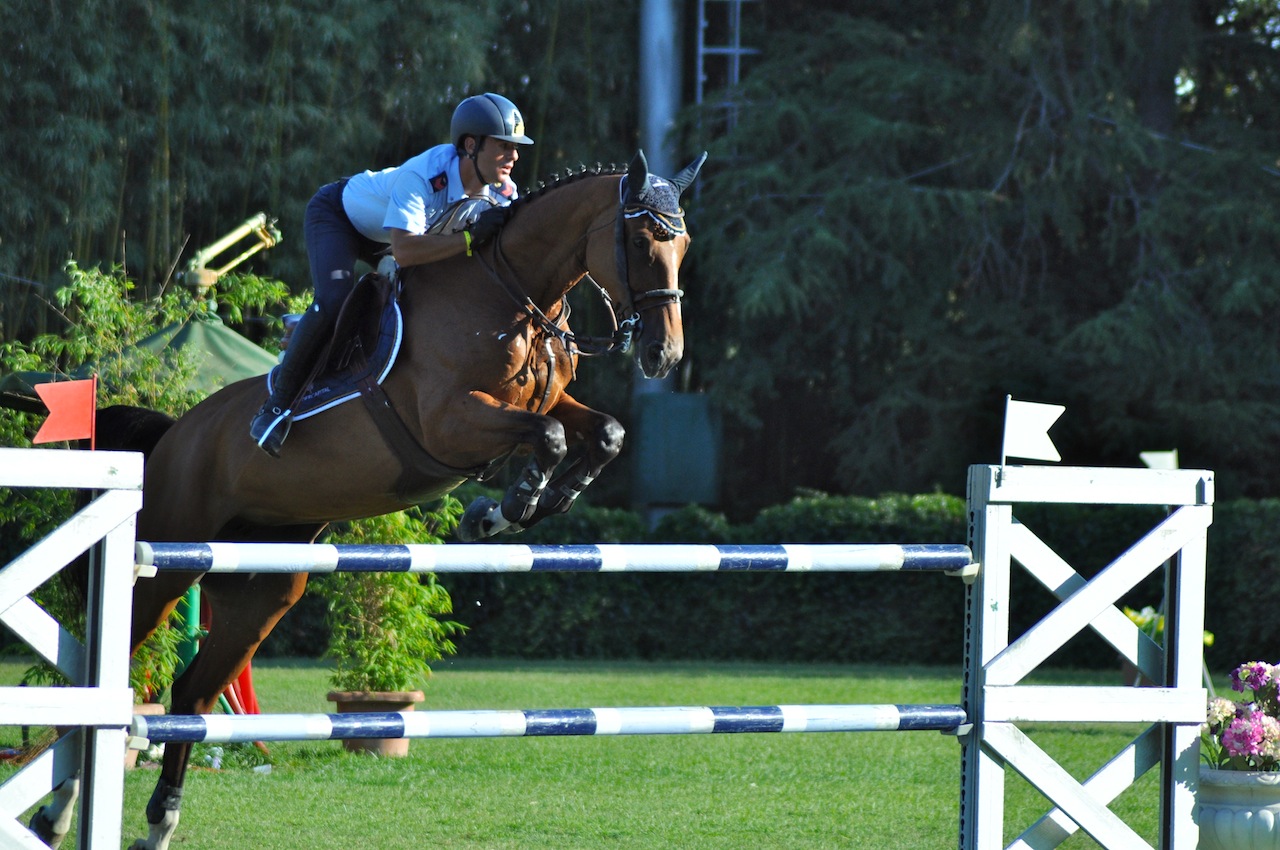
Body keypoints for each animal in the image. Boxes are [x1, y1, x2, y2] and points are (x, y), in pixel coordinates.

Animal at [30, 149, 706, 844]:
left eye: (682, 244)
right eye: (640, 240)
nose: (664, 353)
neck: (509, 290)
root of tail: (171, 436)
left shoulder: (545, 401)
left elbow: (603, 433)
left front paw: (535, 503)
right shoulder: (450, 421)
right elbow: (547, 438)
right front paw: (505, 509)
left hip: (261, 591)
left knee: (192, 694)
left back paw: (159, 821)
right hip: (165, 564)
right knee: (109, 671)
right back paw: (59, 813)